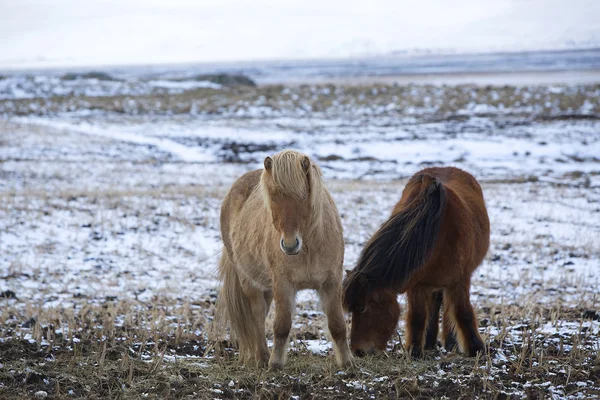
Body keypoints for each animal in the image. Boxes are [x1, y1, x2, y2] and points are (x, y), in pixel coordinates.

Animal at [214, 151, 352, 372]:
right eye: (272, 196)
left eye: (303, 195)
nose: (289, 245)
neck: (308, 248)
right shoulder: (283, 283)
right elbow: (282, 325)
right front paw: (276, 363)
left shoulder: (331, 281)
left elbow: (337, 324)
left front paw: (347, 363)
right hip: (249, 280)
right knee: (257, 314)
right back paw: (262, 357)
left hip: (269, 288)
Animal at [340, 167, 490, 358]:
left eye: (362, 308)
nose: (358, 351)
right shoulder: (417, 284)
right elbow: (418, 317)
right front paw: (415, 350)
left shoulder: (459, 281)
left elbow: (462, 312)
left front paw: (476, 348)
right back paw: (430, 341)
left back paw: (451, 342)